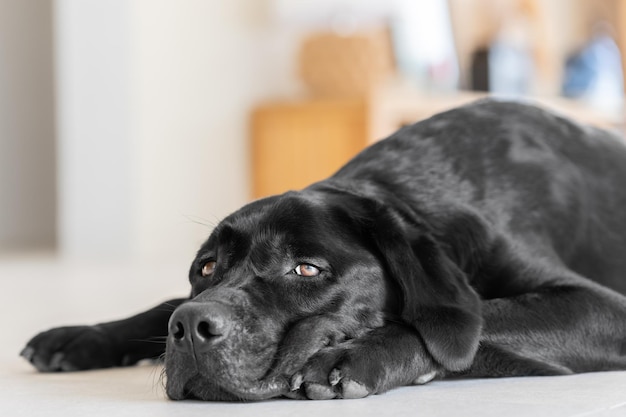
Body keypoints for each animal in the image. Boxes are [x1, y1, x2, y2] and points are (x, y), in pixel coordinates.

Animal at [19, 101, 624, 400]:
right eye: (206, 267)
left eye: (306, 269)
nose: (191, 328)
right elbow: (163, 302)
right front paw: (81, 336)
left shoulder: (602, 307)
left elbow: (471, 322)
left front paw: (358, 355)